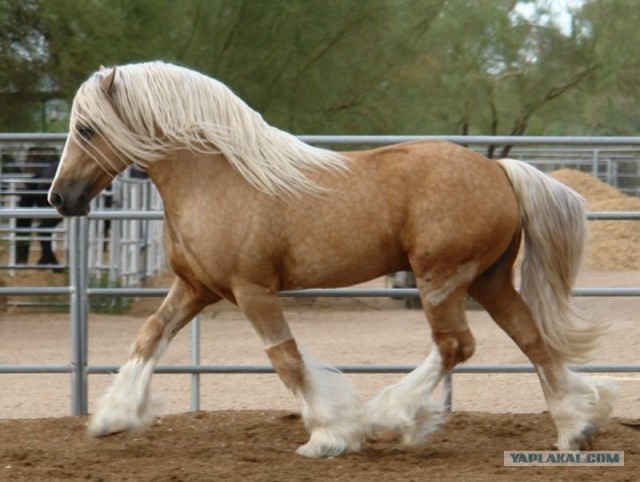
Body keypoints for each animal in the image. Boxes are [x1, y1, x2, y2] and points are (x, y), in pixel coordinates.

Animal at [48, 61, 616, 458]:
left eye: (87, 129)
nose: (59, 198)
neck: (219, 177)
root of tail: (499, 169)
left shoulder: (253, 290)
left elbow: (286, 359)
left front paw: (328, 436)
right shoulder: (195, 288)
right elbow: (150, 335)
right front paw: (111, 417)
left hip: (441, 277)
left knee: (456, 345)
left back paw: (388, 416)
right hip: (488, 280)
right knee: (530, 339)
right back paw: (575, 429)